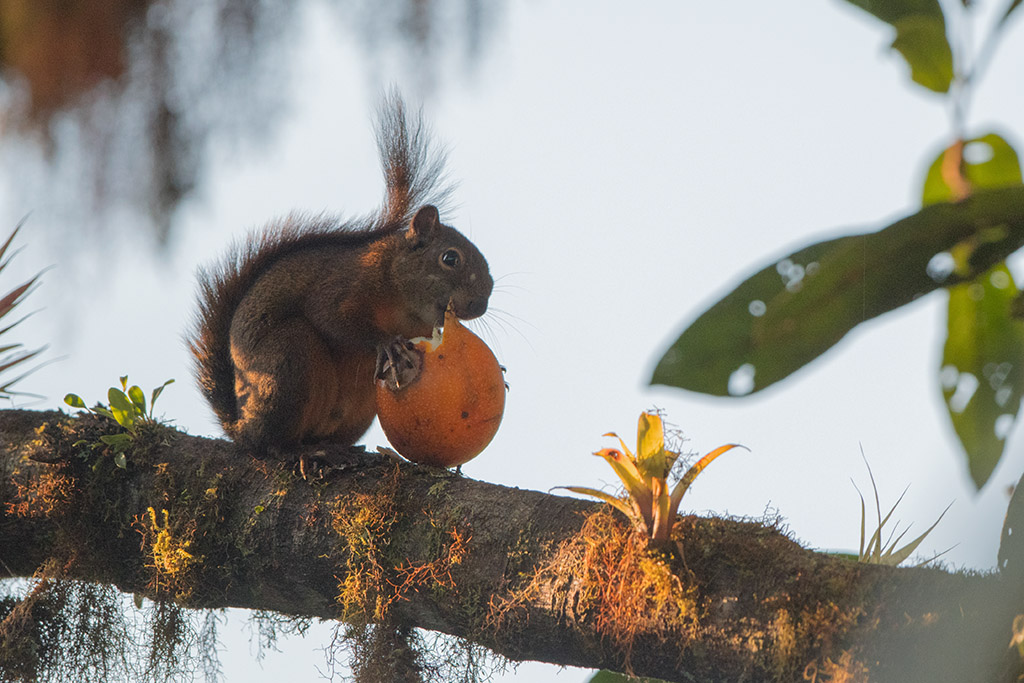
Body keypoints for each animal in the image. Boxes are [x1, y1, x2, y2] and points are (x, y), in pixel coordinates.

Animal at [192, 90, 495, 454]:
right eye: (450, 258)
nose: (480, 306)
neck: (401, 298)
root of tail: (240, 425)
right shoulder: (347, 282)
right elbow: (328, 315)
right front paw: (385, 342)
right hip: (289, 357)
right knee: (270, 439)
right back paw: (293, 448)